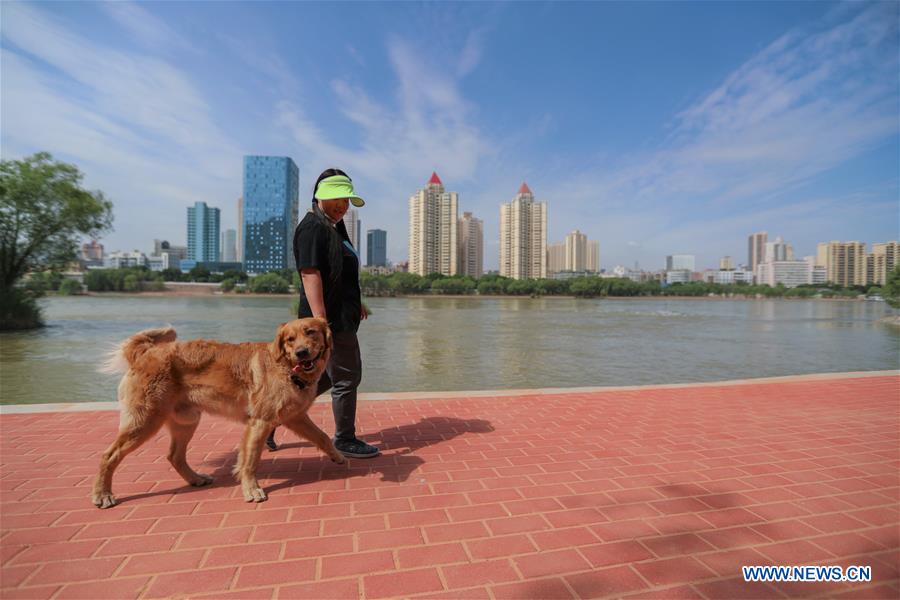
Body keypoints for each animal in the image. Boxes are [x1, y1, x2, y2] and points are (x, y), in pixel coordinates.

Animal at [92, 316, 344, 508]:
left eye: (310, 332)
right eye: (290, 340)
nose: (301, 352)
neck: (286, 368)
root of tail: (146, 351)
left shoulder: (295, 417)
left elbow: (322, 436)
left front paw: (337, 455)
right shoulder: (260, 422)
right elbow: (250, 461)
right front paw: (251, 489)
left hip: (186, 421)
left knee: (174, 456)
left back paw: (195, 478)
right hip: (144, 421)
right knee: (108, 455)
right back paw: (102, 494)